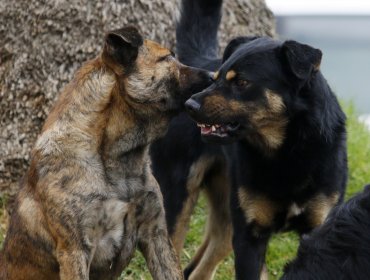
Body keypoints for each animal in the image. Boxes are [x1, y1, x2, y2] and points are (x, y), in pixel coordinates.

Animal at [150, 0, 346, 278]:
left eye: (242, 82)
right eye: (216, 78)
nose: (189, 105)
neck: (287, 151)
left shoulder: (318, 226)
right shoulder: (249, 238)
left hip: (226, 219)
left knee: (197, 268)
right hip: (178, 197)